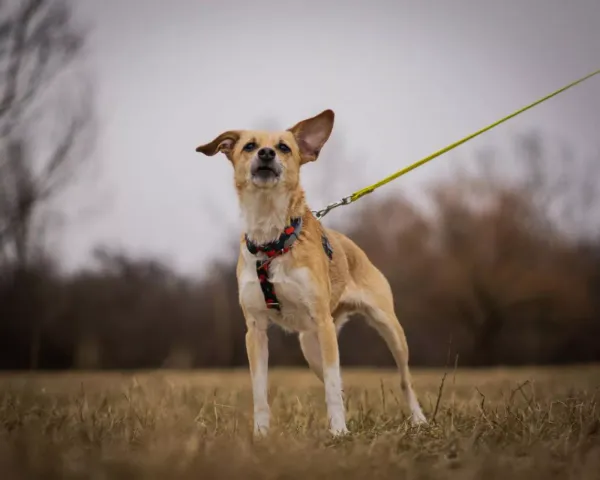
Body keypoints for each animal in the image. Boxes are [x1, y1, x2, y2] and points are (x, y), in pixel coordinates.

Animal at [197, 109, 426, 436]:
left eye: (284, 147)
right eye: (250, 146)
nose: (266, 153)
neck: (271, 240)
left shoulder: (322, 323)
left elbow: (331, 386)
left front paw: (339, 432)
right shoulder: (255, 331)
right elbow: (259, 391)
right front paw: (261, 435)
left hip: (387, 328)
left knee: (404, 379)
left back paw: (418, 420)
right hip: (310, 345)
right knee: (340, 384)